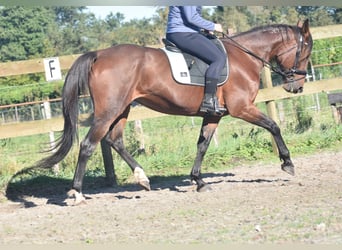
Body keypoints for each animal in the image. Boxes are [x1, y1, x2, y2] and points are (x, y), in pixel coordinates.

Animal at [34, 19, 312, 203]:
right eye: (306, 50)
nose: (297, 86)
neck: (244, 58)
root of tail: (99, 54)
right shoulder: (242, 108)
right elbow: (274, 126)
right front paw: (287, 163)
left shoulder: (213, 114)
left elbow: (202, 145)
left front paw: (198, 181)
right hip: (109, 111)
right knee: (89, 145)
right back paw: (78, 193)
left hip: (122, 109)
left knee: (115, 140)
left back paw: (143, 178)